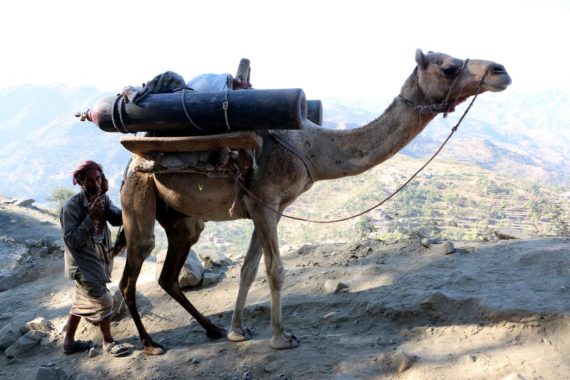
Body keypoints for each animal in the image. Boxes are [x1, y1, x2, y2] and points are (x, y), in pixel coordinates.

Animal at [118, 49, 510, 354]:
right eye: (449, 67)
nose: (500, 71)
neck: (311, 147)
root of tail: (127, 164)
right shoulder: (265, 202)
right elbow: (275, 270)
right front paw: (280, 337)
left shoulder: (269, 208)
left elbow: (248, 269)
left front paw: (237, 331)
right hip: (137, 195)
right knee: (132, 269)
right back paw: (150, 344)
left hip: (181, 219)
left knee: (170, 273)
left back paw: (211, 330)